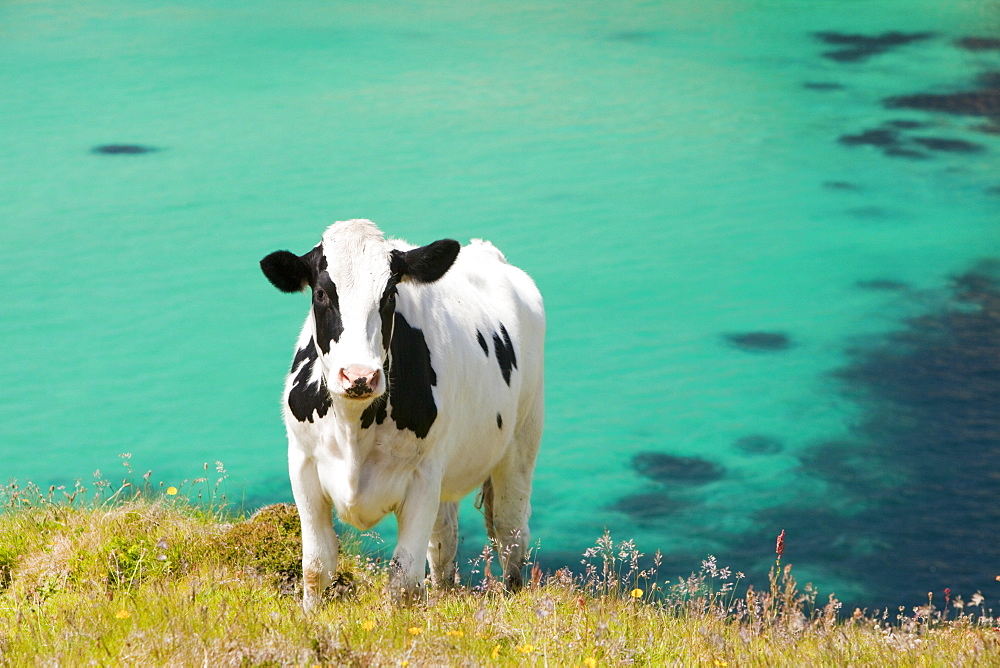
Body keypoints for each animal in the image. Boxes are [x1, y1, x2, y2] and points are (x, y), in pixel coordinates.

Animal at [254, 219, 544, 612]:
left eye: (390, 295)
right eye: (321, 294)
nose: (359, 376)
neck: (353, 427)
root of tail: (487, 252)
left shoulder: (422, 476)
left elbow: (404, 580)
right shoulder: (302, 463)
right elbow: (317, 565)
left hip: (521, 442)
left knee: (509, 532)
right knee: (444, 540)